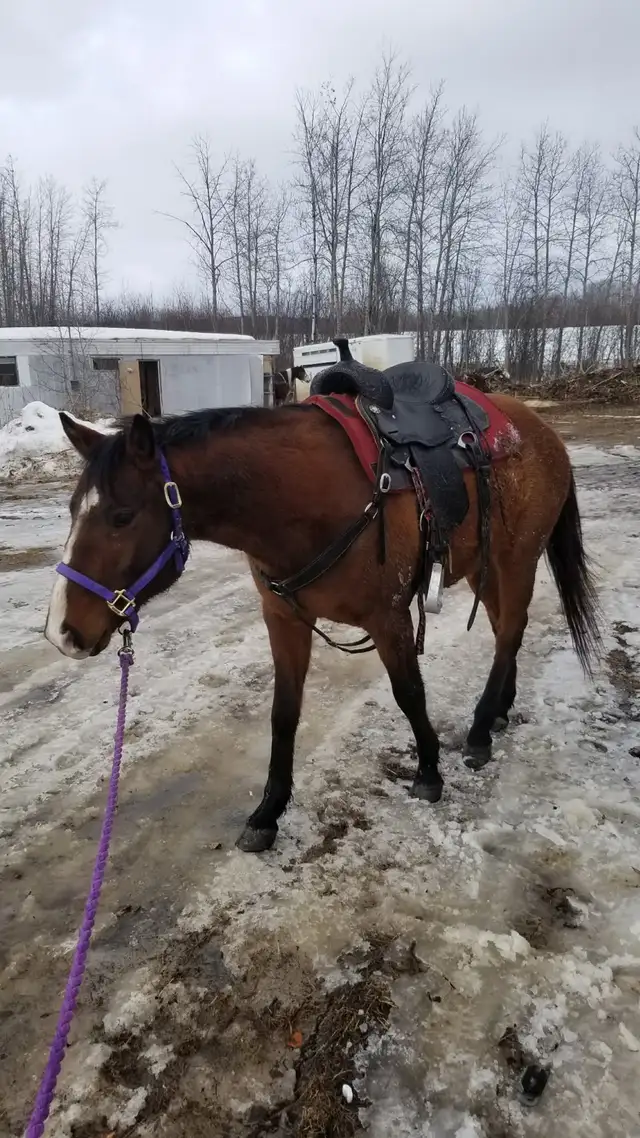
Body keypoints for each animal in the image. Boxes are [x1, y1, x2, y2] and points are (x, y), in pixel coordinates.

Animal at [44, 359, 601, 854]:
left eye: (121, 516)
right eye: (71, 511)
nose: (63, 633)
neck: (301, 497)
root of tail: (542, 431)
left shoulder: (389, 618)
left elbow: (409, 694)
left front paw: (428, 771)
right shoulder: (284, 620)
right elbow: (283, 713)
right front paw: (268, 812)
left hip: (516, 559)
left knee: (510, 631)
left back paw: (482, 728)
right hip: (485, 566)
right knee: (508, 627)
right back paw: (500, 710)